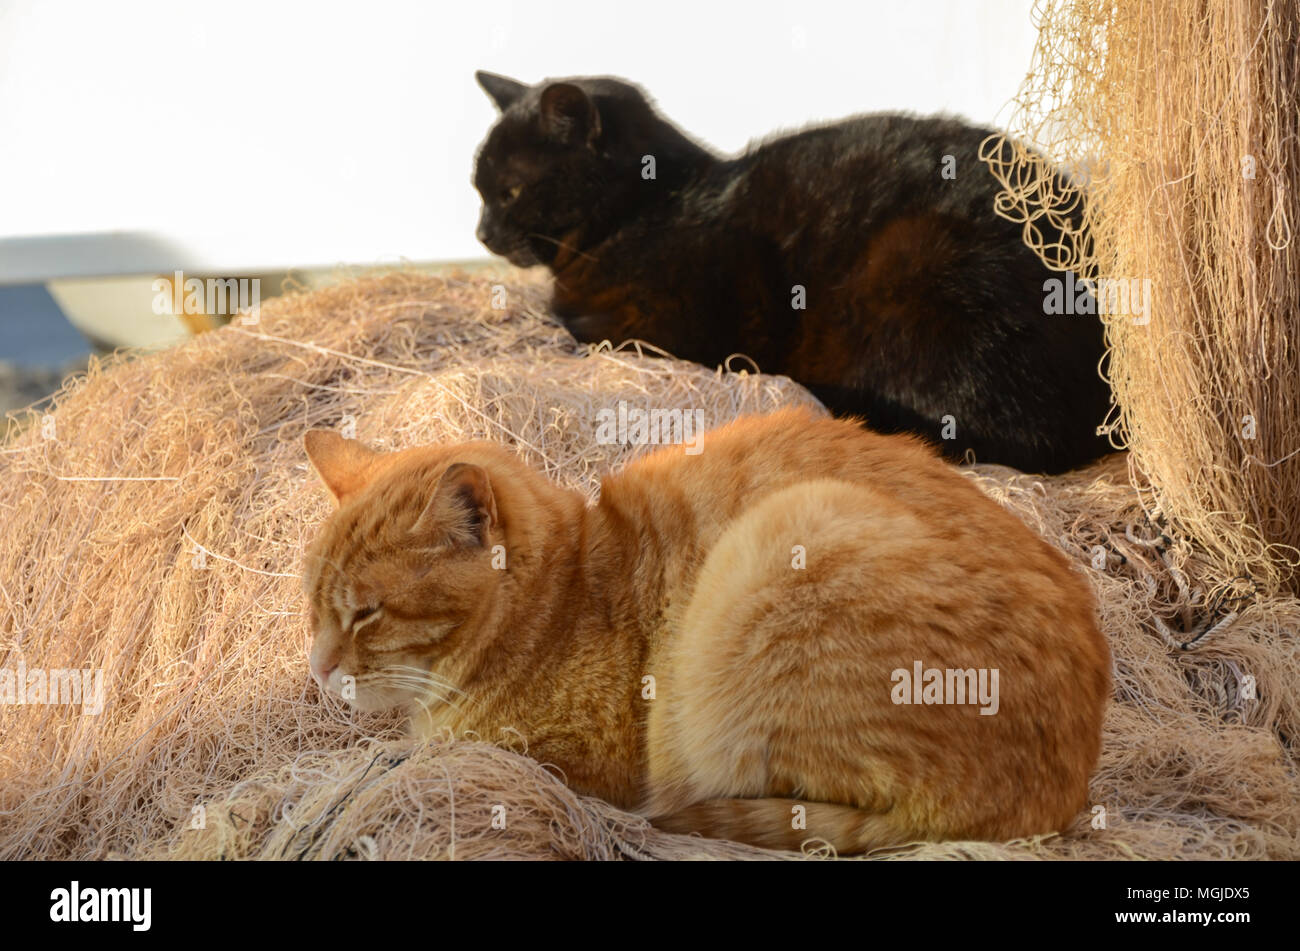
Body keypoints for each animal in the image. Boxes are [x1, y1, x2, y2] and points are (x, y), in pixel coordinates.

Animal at [301, 407, 1107, 852]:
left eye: (365, 611)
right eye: (313, 603)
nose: (317, 667)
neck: (561, 595)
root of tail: (1056, 792)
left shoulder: (578, 760)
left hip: (777, 559)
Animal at [473, 69, 1112, 472]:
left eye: (509, 192)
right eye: (477, 188)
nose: (480, 233)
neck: (647, 207)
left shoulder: (651, 325)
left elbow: (576, 323)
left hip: (919, 263)